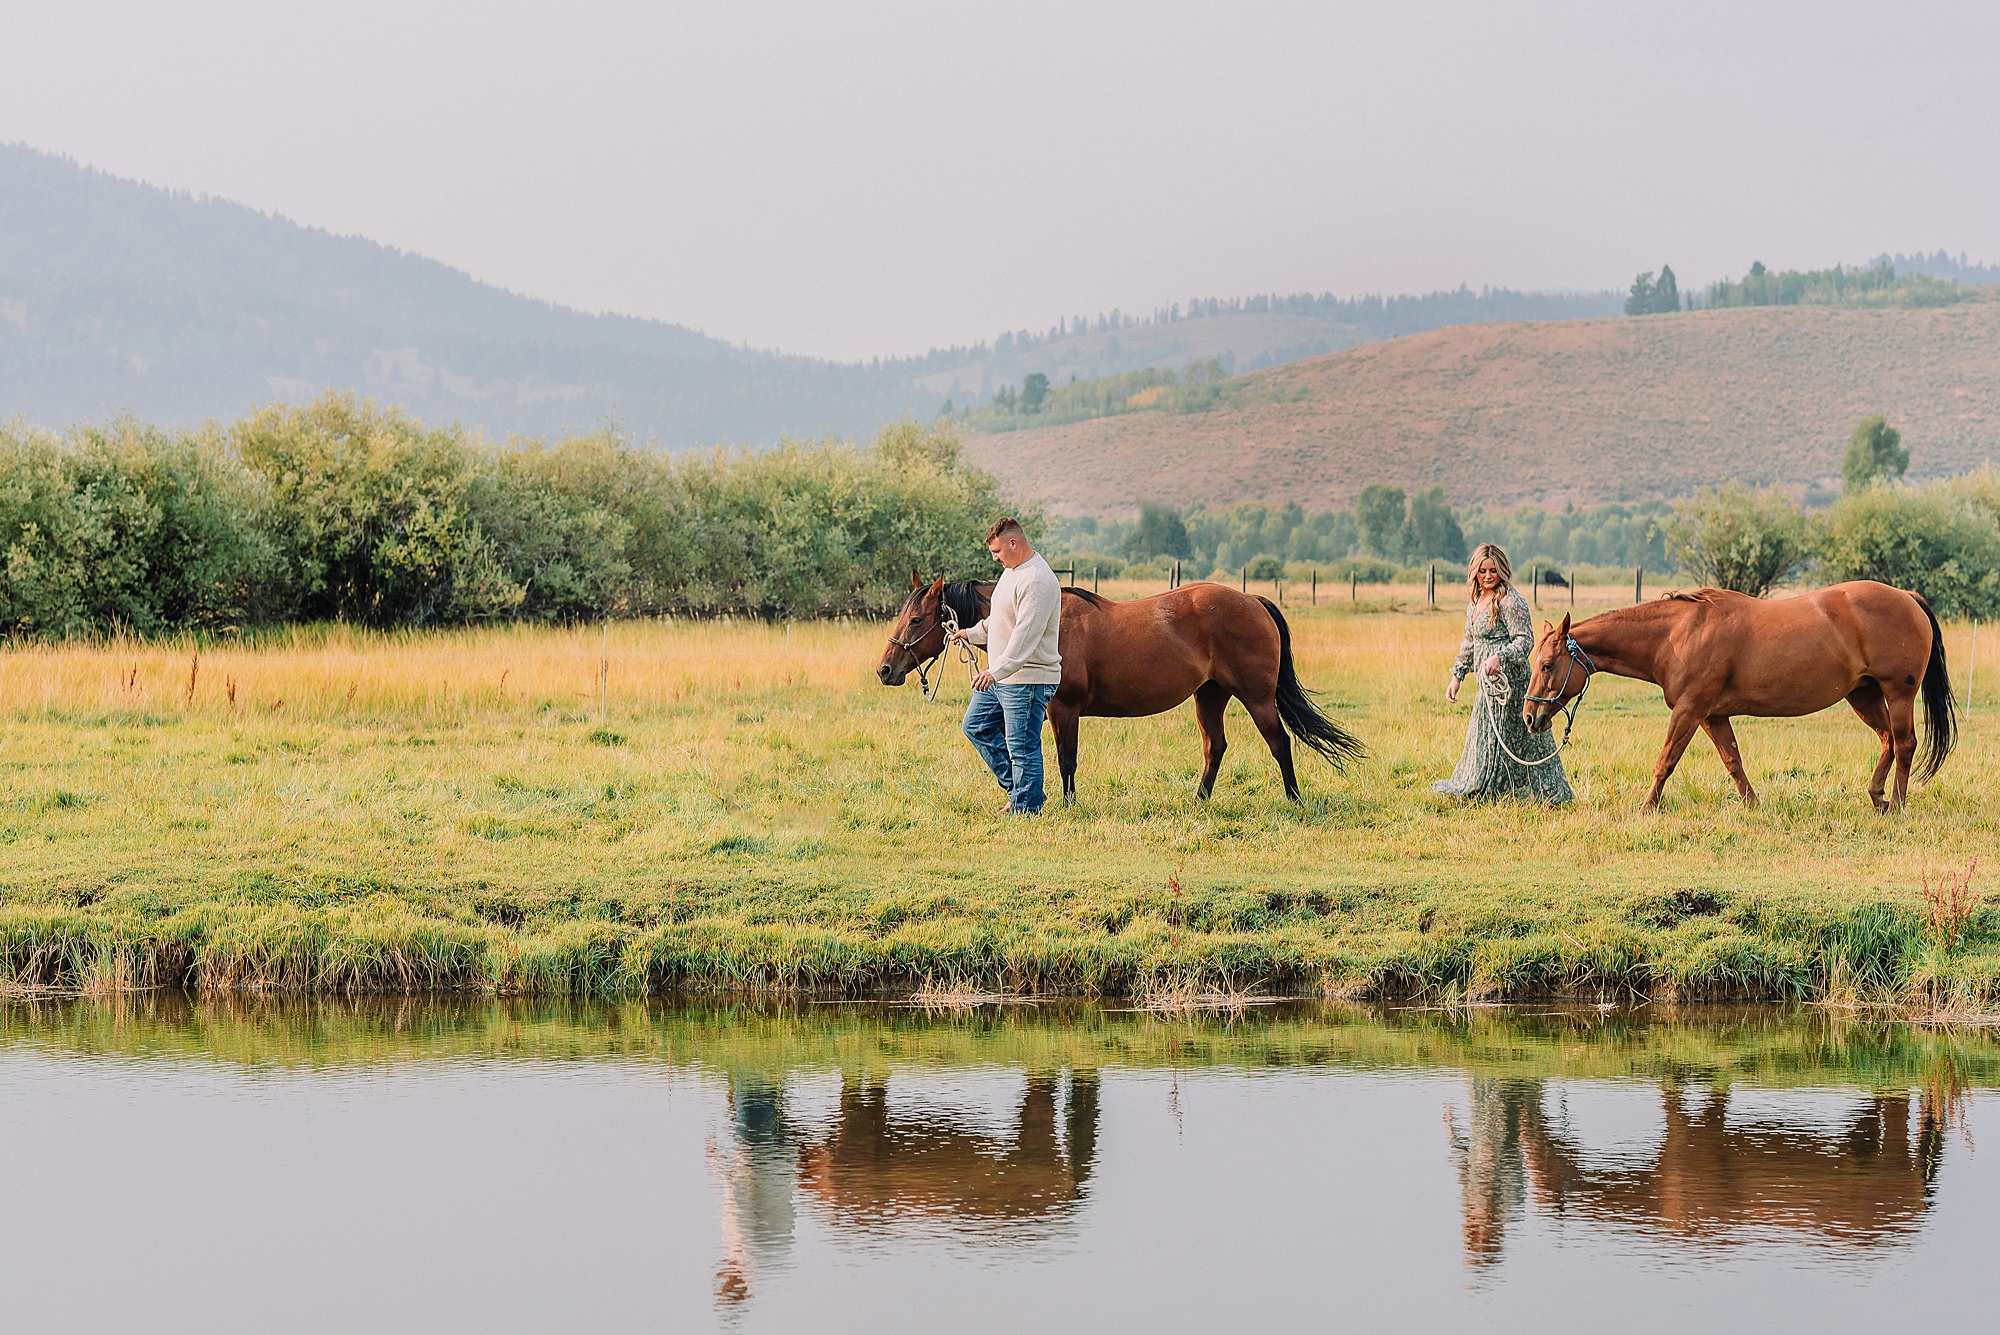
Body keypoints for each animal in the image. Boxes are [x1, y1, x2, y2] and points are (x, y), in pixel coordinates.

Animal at [876, 573, 1363, 803]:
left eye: (916, 620)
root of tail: (1252, 601)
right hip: (1209, 696)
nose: (884, 669)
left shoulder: (1063, 710)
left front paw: (1066, 805)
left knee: (1279, 743)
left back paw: (1293, 800)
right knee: (1216, 747)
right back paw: (1199, 801)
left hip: (1257, 698)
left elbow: (1065, 760)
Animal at [1519, 581, 1954, 811]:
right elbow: (1733, 762)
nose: (1529, 717)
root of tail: (1907, 597)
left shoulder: (1689, 711)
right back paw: (1878, 798)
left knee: (1904, 744)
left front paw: (1645, 808)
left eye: (1547, 665)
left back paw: (1897, 804)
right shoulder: (1712, 716)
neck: (1678, 634)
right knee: (1887, 741)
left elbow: (1665, 762)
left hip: (1898, 694)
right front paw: (1753, 807)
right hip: (1863, 695)